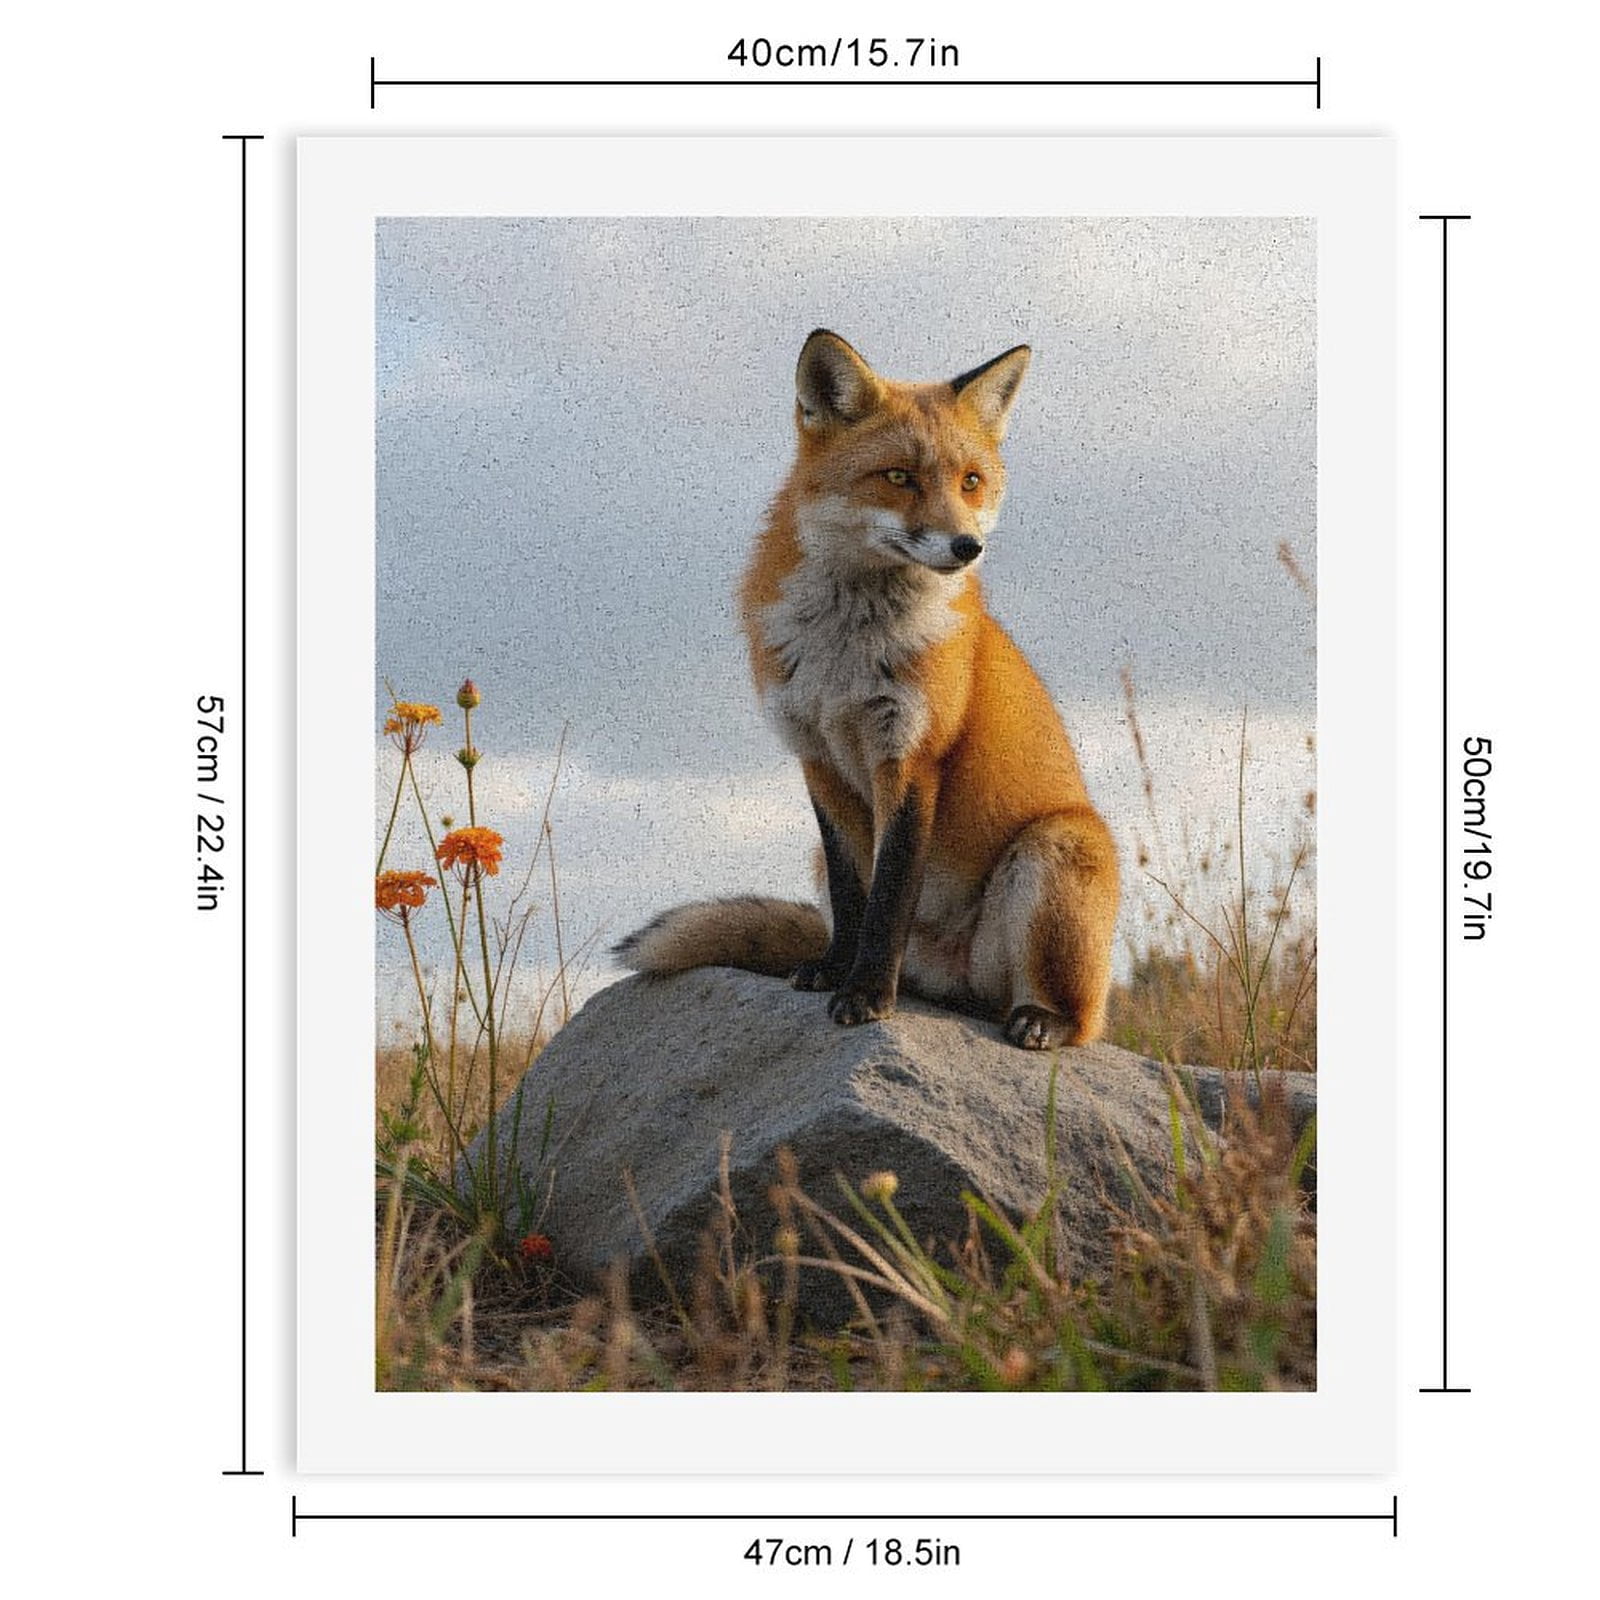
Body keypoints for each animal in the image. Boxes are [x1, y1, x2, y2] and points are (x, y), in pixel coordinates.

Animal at [614, 330, 1119, 1049]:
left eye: (970, 482)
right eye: (899, 476)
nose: (967, 547)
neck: (843, 657)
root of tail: (951, 982)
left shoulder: (909, 756)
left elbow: (889, 900)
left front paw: (868, 995)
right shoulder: (819, 759)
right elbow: (857, 900)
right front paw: (835, 973)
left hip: (1056, 848)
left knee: (1079, 1021)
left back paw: (1037, 1019)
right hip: (828, 866)